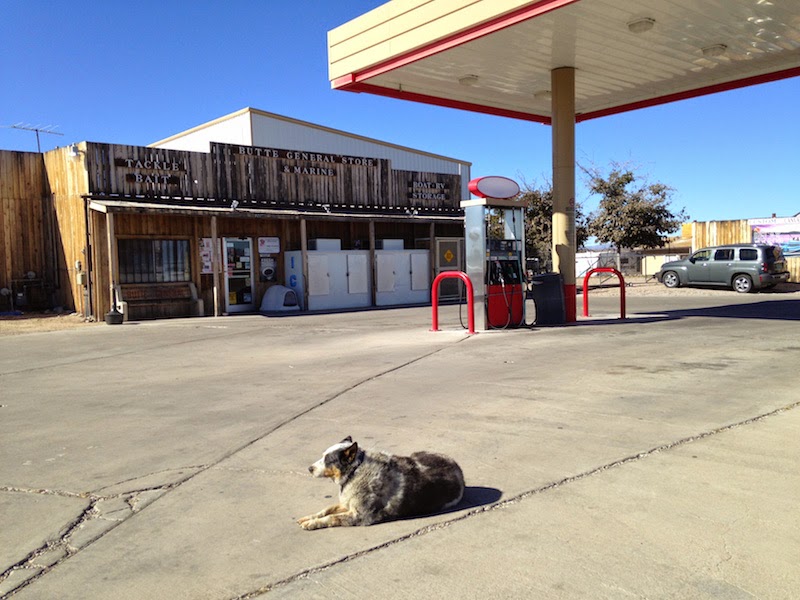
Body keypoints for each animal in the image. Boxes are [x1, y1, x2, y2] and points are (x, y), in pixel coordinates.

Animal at [298, 436, 462, 528]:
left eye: (327, 460)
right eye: (322, 456)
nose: (309, 468)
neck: (355, 471)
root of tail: (458, 469)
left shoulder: (360, 516)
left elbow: (331, 517)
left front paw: (312, 524)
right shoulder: (347, 504)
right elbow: (327, 510)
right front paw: (309, 517)